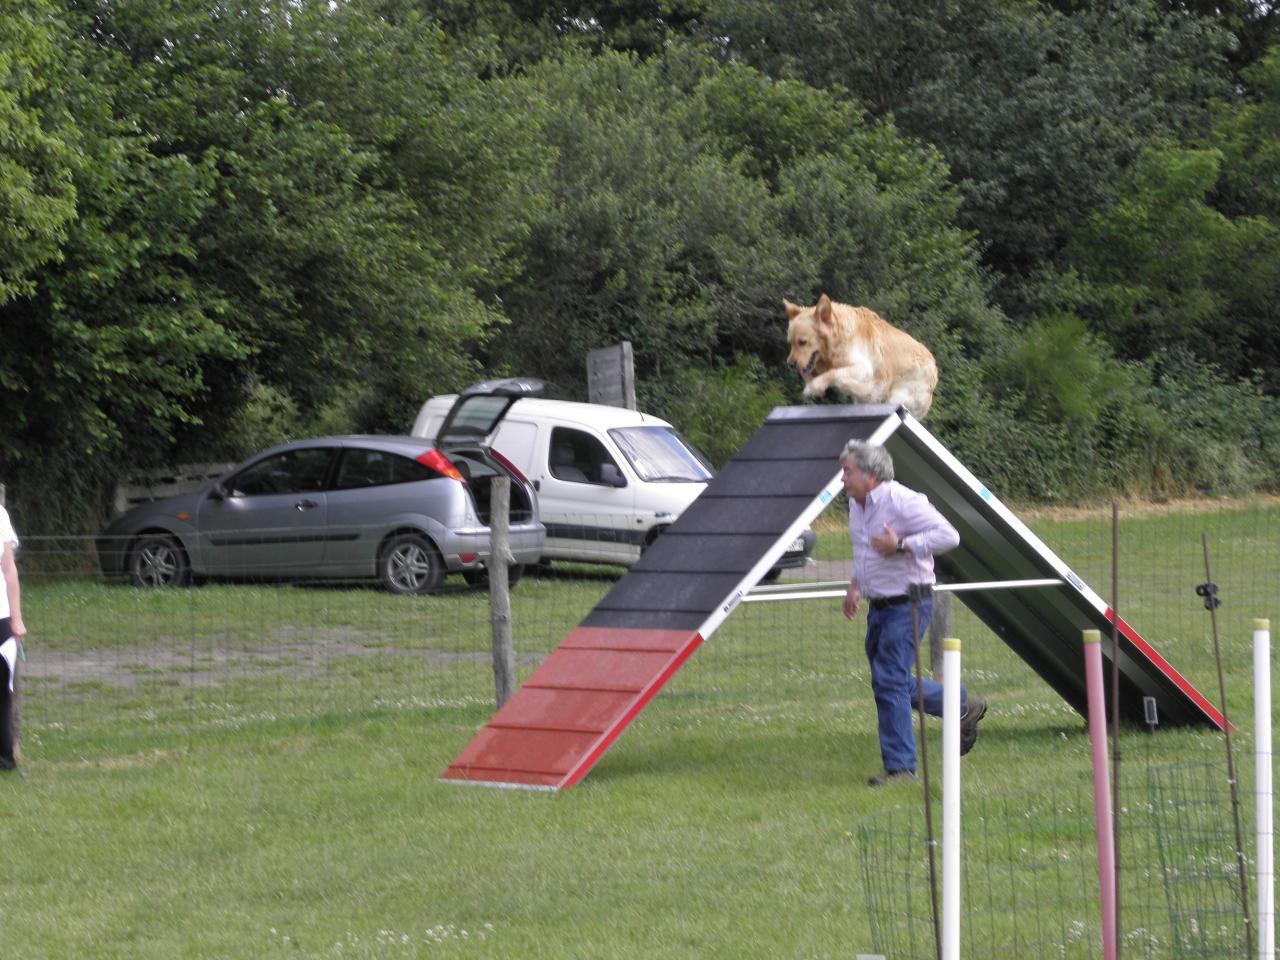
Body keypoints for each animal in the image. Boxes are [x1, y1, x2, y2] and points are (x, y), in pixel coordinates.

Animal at [783, 295, 936, 419]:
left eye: (802, 342)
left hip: (900, 393)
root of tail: (934, 365)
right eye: (790, 343)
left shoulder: (865, 371)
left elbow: (834, 372)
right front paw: (813, 384)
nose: (790, 364)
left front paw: (814, 386)